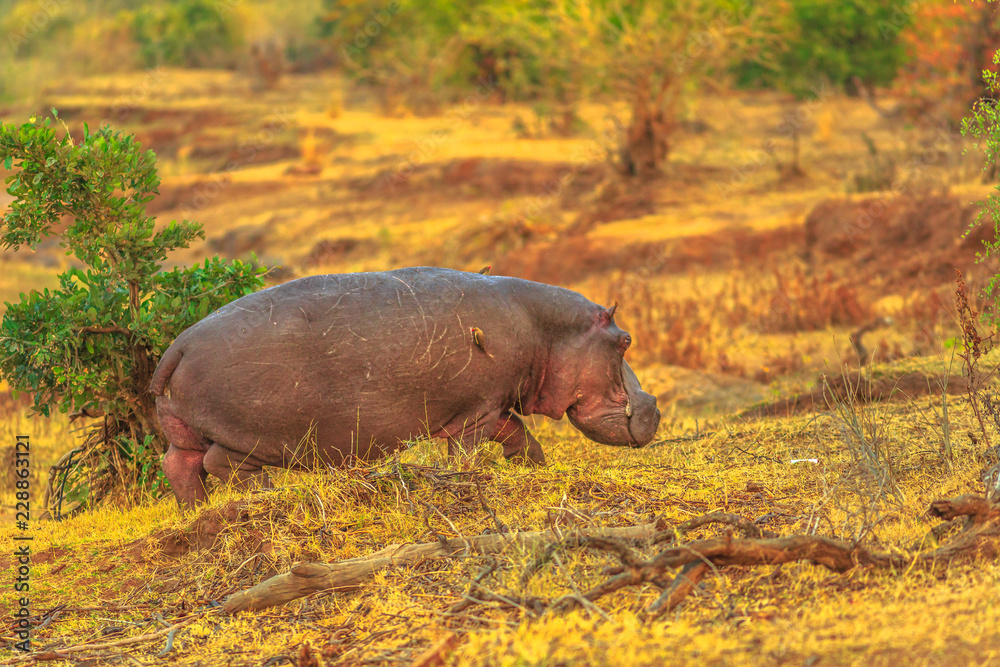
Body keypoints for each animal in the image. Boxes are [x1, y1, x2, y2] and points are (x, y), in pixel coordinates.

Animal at [151, 267, 660, 507]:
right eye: (626, 341)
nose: (655, 408)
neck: (547, 330)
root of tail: (177, 346)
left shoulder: (490, 405)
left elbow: (519, 435)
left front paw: (534, 468)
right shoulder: (474, 414)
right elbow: (470, 453)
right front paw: (470, 479)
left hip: (187, 429)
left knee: (180, 465)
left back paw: (193, 513)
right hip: (252, 435)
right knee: (219, 463)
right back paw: (265, 493)